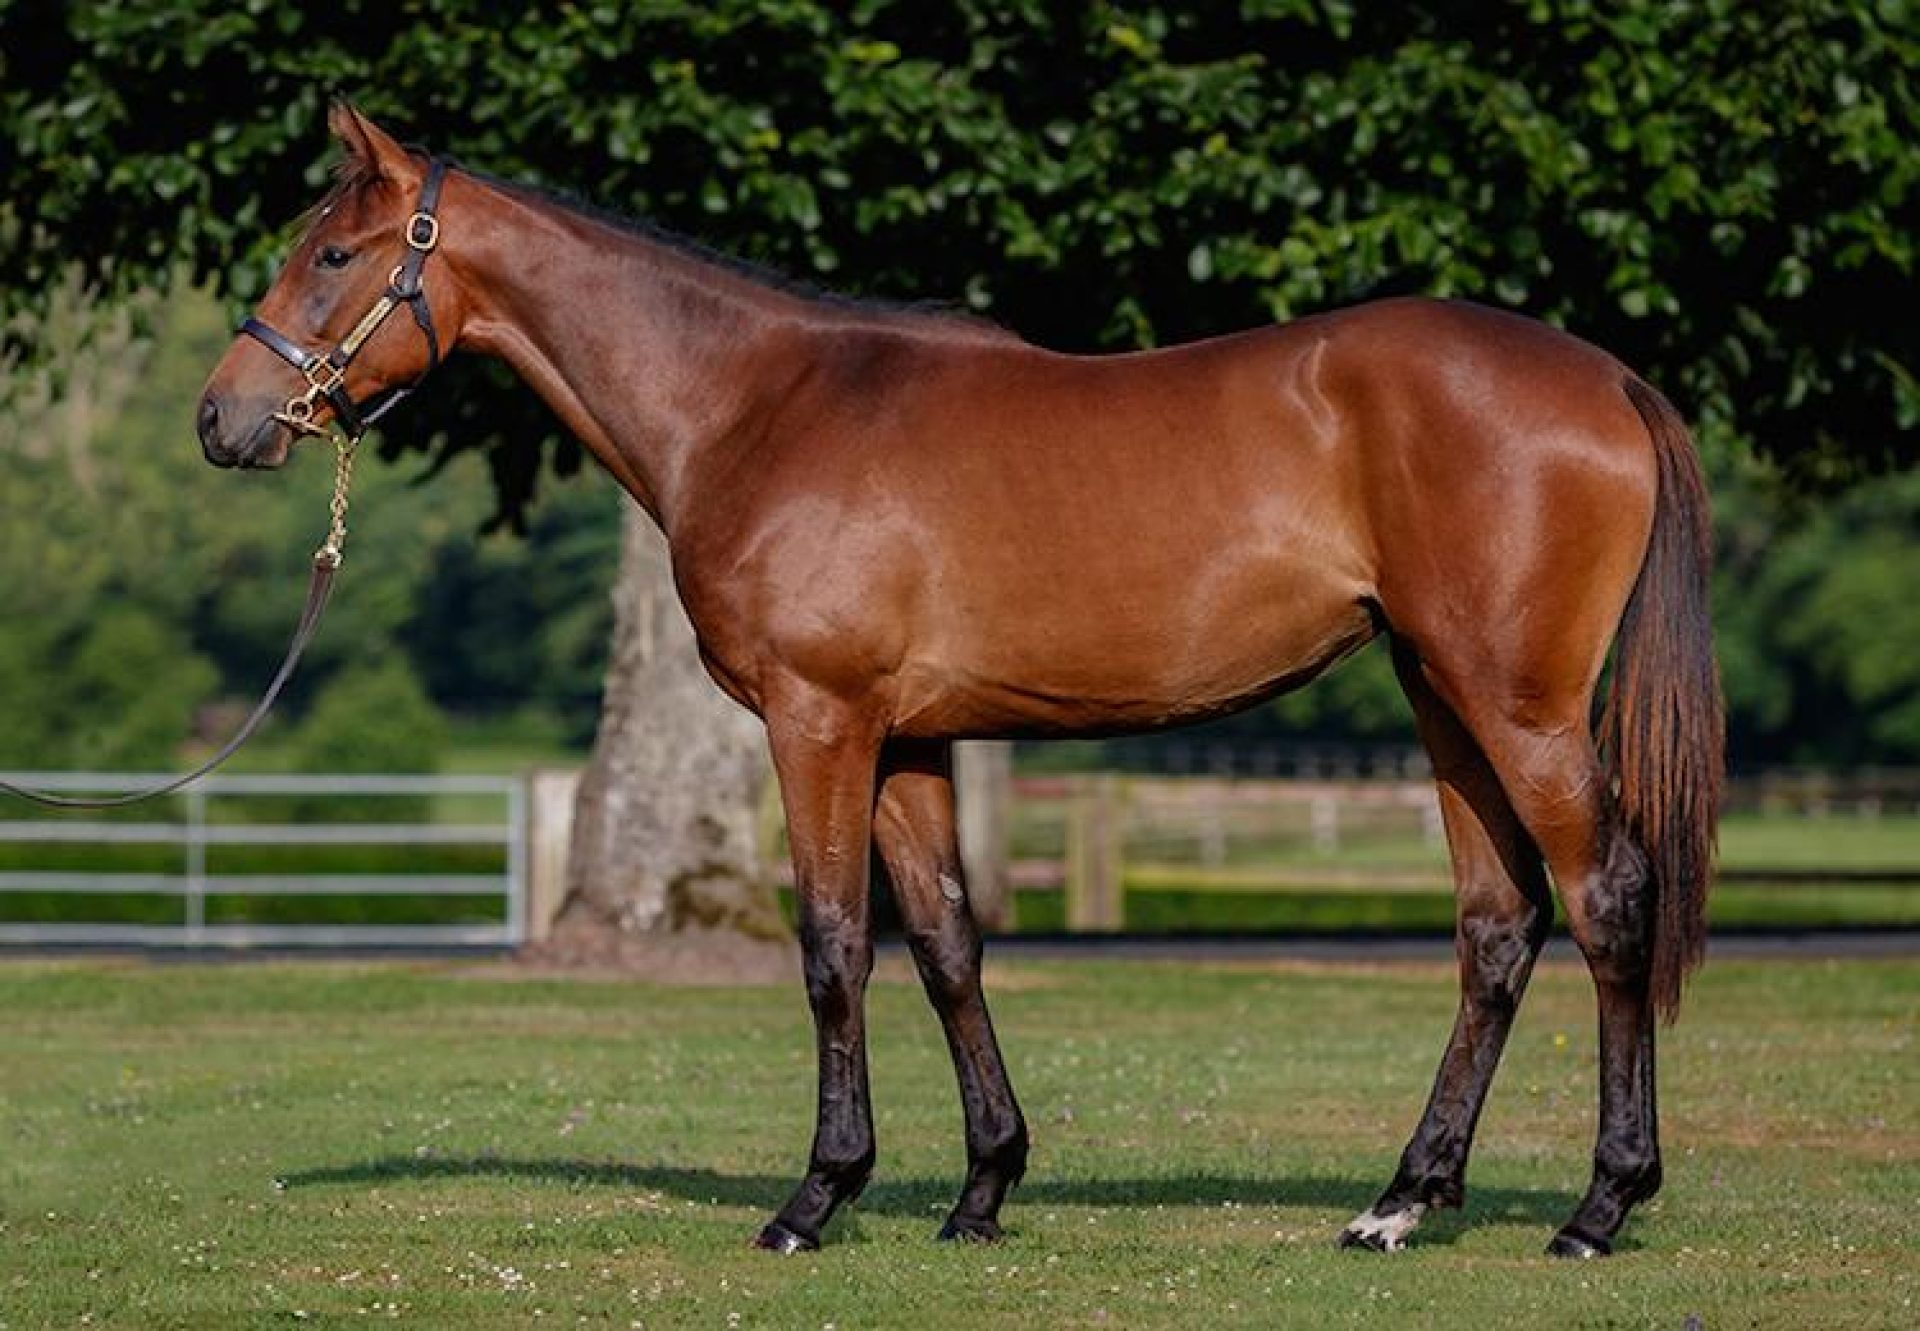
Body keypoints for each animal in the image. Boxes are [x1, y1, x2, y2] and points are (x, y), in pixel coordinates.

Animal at [198, 108, 1728, 1259]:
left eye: (334, 251)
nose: (222, 417)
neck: (756, 405)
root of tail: (1608, 380)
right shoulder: (912, 741)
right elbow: (944, 943)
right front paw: (985, 1185)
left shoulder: (820, 722)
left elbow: (833, 946)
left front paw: (818, 1194)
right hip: (1440, 693)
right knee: (1497, 923)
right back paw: (1402, 1200)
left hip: (1513, 702)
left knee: (1607, 899)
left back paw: (1599, 1205)